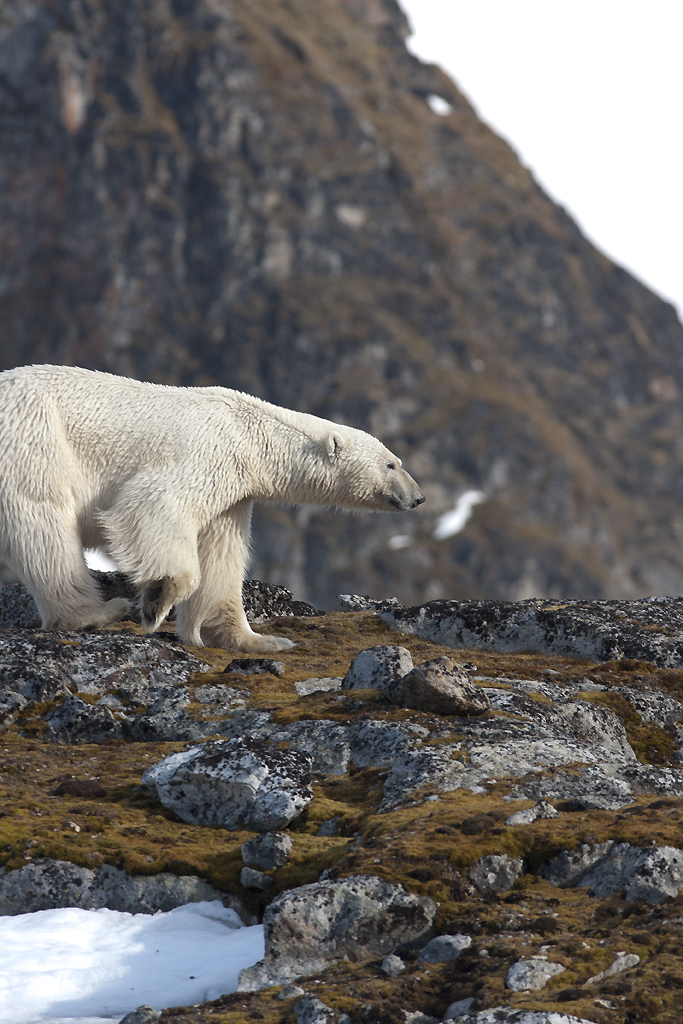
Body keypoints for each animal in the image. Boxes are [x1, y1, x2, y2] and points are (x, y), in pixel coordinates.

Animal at [0, 368, 423, 651]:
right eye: (392, 463)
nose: (418, 497)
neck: (247, 431)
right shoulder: (208, 453)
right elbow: (153, 503)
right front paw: (158, 597)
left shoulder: (234, 494)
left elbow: (220, 555)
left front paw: (259, 640)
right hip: (34, 439)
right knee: (44, 522)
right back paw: (97, 612)